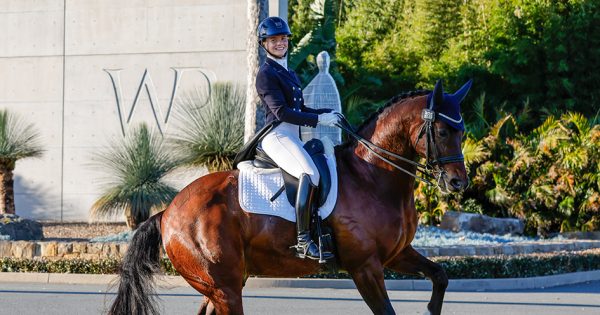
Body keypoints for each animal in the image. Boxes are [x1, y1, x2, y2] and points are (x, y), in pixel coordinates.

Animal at [109, 80, 474, 314]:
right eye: (443, 131)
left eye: (463, 131)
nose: (457, 182)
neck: (373, 176)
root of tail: (168, 211)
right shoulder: (365, 266)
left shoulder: (396, 254)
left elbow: (440, 276)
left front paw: (431, 309)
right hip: (225, 288)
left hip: (224, 283)